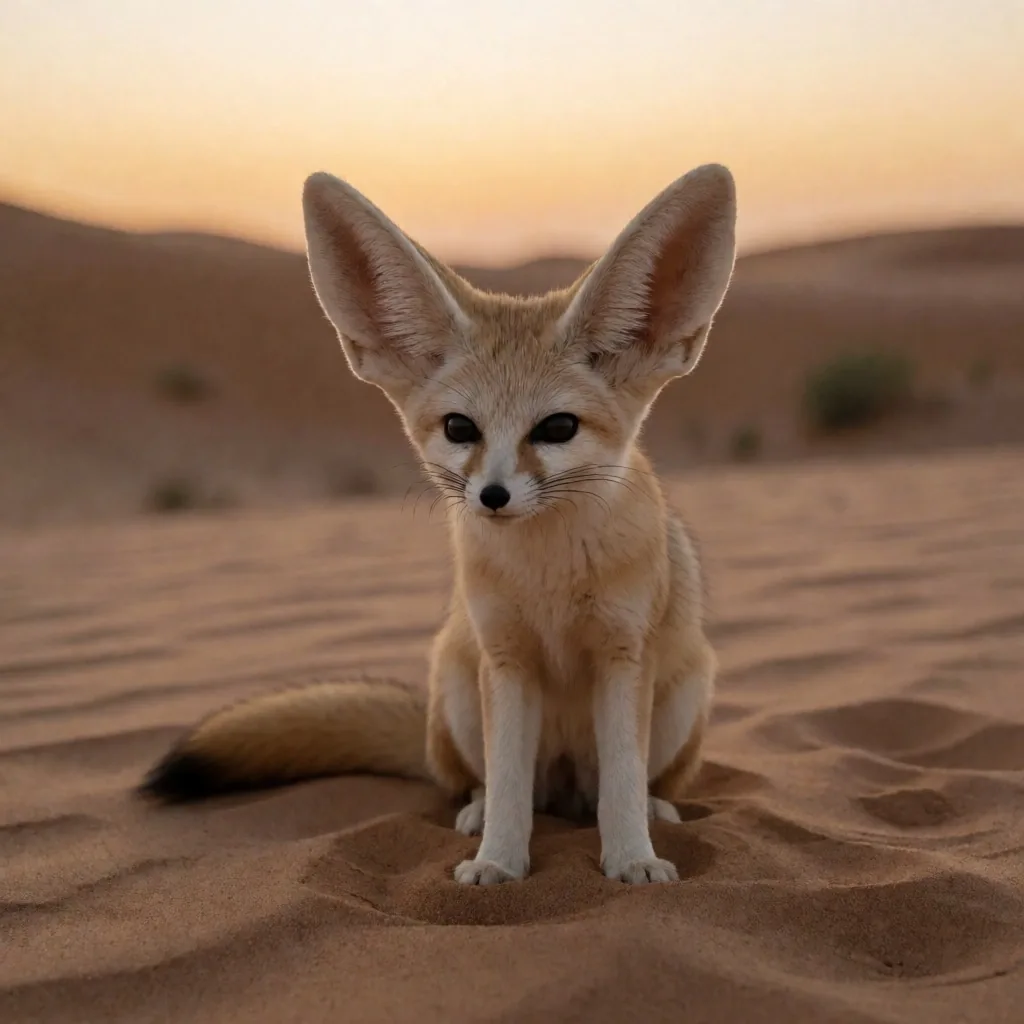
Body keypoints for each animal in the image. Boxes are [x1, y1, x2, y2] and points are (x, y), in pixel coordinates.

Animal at [141, 163, 737, 886]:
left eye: (557, 428)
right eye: (459, 429)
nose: (492, 496)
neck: (549, 578)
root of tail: (568, 785)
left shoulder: (623, 656)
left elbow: (622, 782)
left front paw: (632, 860)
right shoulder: (505, 659)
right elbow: (508, 786)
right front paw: (498, 863)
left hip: (683, 693)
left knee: (623, 785)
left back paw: (656, 810)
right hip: (457, 685)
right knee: (489, 784)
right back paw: (477, 815)